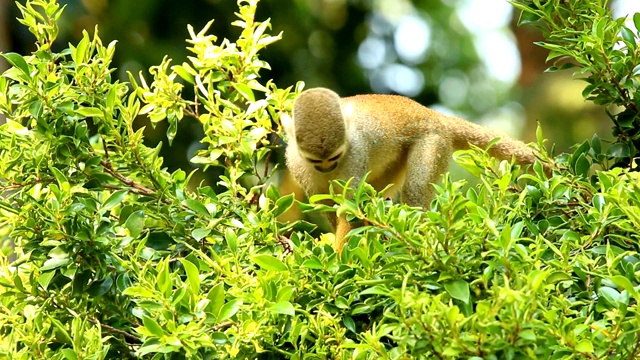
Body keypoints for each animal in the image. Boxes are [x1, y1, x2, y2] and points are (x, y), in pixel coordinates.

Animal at [282, 87, 548, 253]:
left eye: (335, 157)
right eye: (316, 161)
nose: (328, 167)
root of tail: (433, 114)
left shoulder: (356, 153)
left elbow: (353, 209)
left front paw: (339, 260)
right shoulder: (295, 162)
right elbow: (326, 202)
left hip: (434, 140)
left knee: (415, 188)